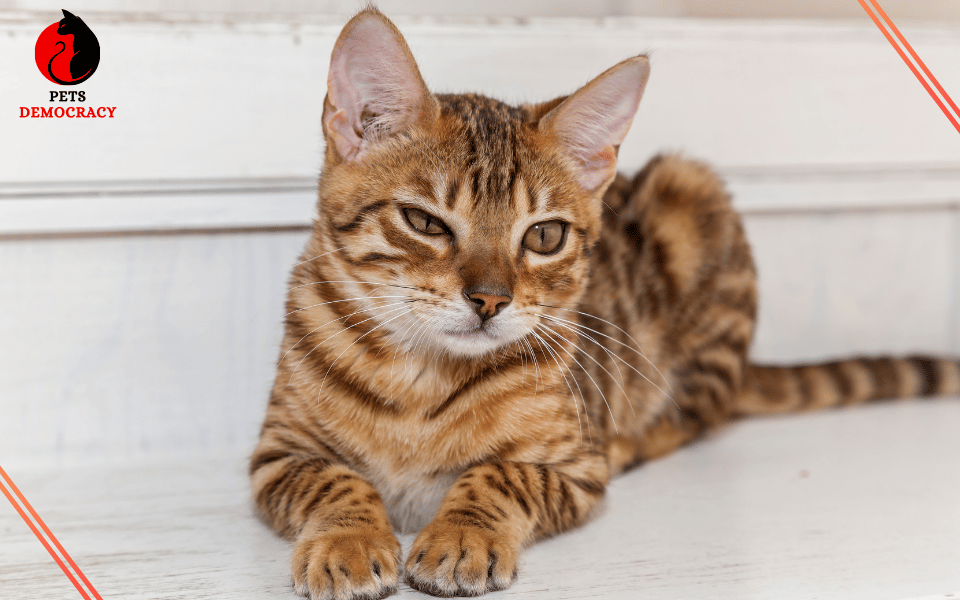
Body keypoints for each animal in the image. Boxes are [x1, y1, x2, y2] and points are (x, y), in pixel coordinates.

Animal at [249, 5, 960, 600]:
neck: (421, 375)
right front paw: (348, 539)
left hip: (692, 194)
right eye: (424, 223)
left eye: (544, 236)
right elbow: (334, 477)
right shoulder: (275, 454)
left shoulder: (573, 462)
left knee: (699, 413)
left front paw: (462, 533)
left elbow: (500, 474)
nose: (489, 300)